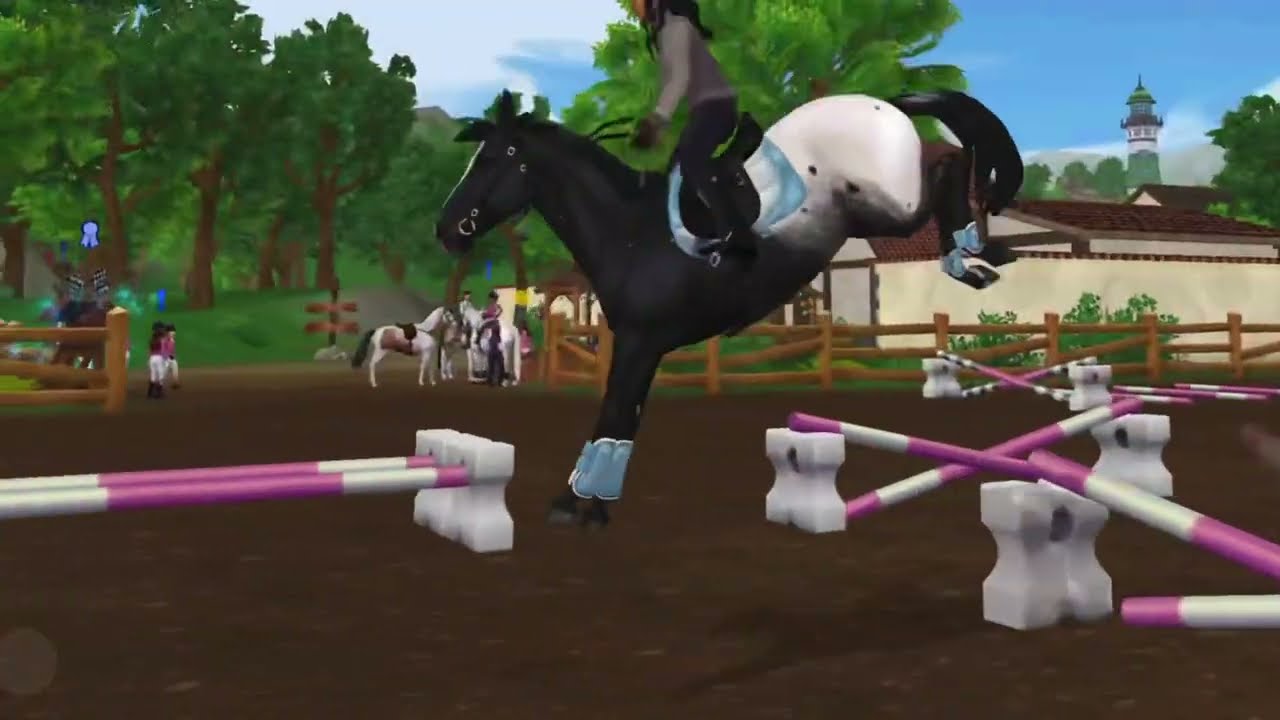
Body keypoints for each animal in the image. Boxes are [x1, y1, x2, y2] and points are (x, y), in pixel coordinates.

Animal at [435, 90, 1022, 527]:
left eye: (492, 160)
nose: (446, 230)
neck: (630, 233)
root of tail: (883, 102)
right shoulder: (639, 343)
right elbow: (622, 416)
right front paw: (588, 503)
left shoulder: (640, 342)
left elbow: (616, 415)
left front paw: (581, 504)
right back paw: (977, 255)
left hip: (890, 205)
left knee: (948, 163)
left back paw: (969, 253)